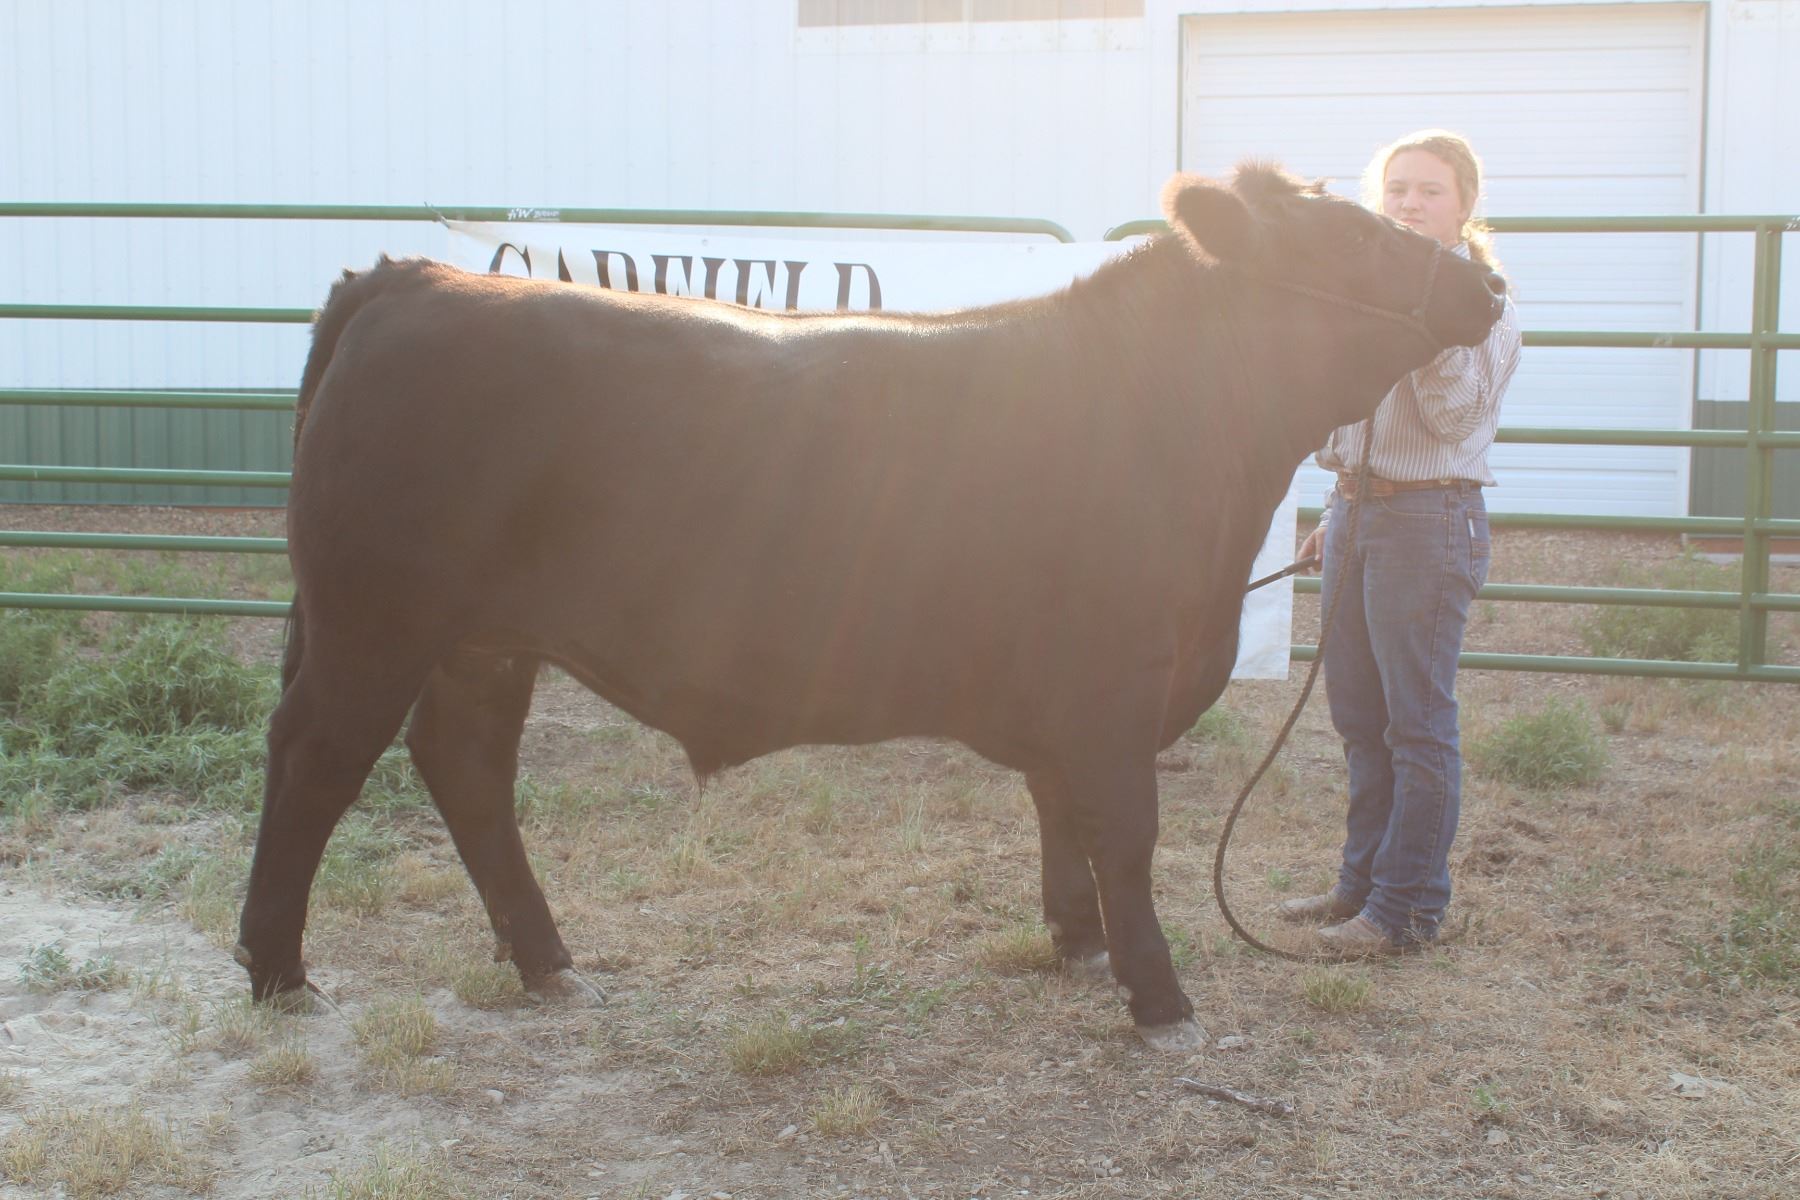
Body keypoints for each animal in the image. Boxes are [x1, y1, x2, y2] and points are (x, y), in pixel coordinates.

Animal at [236, 163, 1507, 1051]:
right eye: (1355, 236)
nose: (1488, 282)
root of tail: (417, 278)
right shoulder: (1113, 682)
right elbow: (1126, 831)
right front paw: (1160, 996)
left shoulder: (1074, 699)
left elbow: (1064, 817)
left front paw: (1079, 943)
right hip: (376, 620)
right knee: (315, 761)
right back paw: (278, 971)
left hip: (483, 643)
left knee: (466, 767)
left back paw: (546, 959)